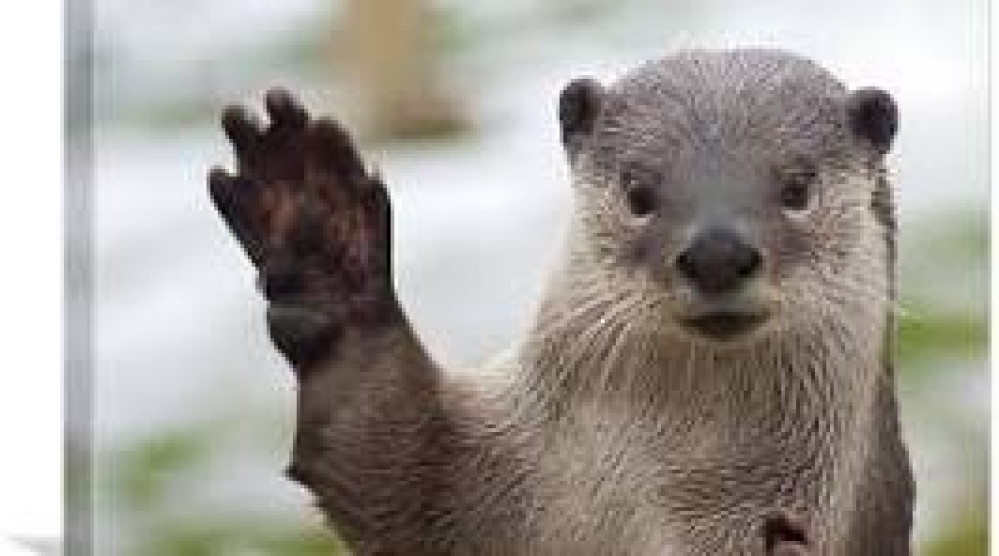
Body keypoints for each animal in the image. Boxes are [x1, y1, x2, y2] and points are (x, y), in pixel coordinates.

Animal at [208, 48, 913, 555]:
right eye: (638, 191)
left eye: (797, 187)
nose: (717, 252)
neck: (664, 499)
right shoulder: (477, 486)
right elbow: (381, 463)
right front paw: (318, 231)